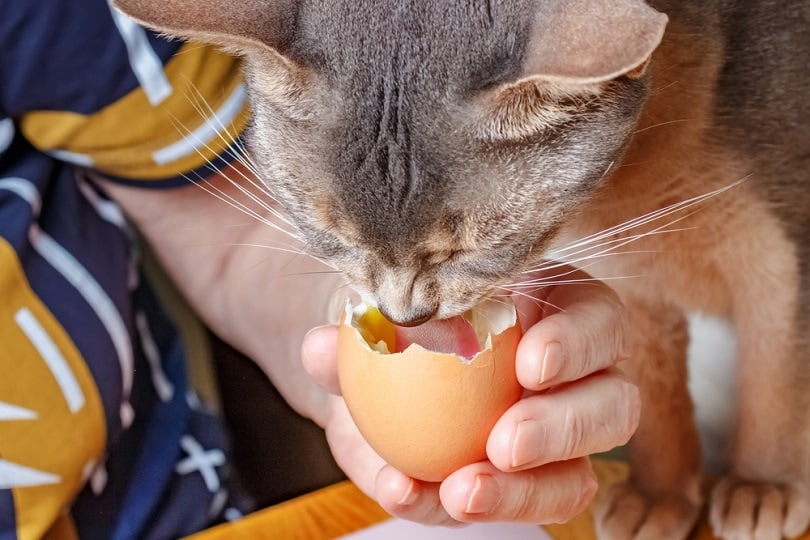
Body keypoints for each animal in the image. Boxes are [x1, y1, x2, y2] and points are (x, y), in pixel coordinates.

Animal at [110, 0, 804, 536]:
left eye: (466, 250)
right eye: (335, 237)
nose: (406, 314)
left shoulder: (784, 257)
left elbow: (777, 375)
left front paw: (763, 484)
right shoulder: (638, 276)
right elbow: (658, 389)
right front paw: (658, 495)